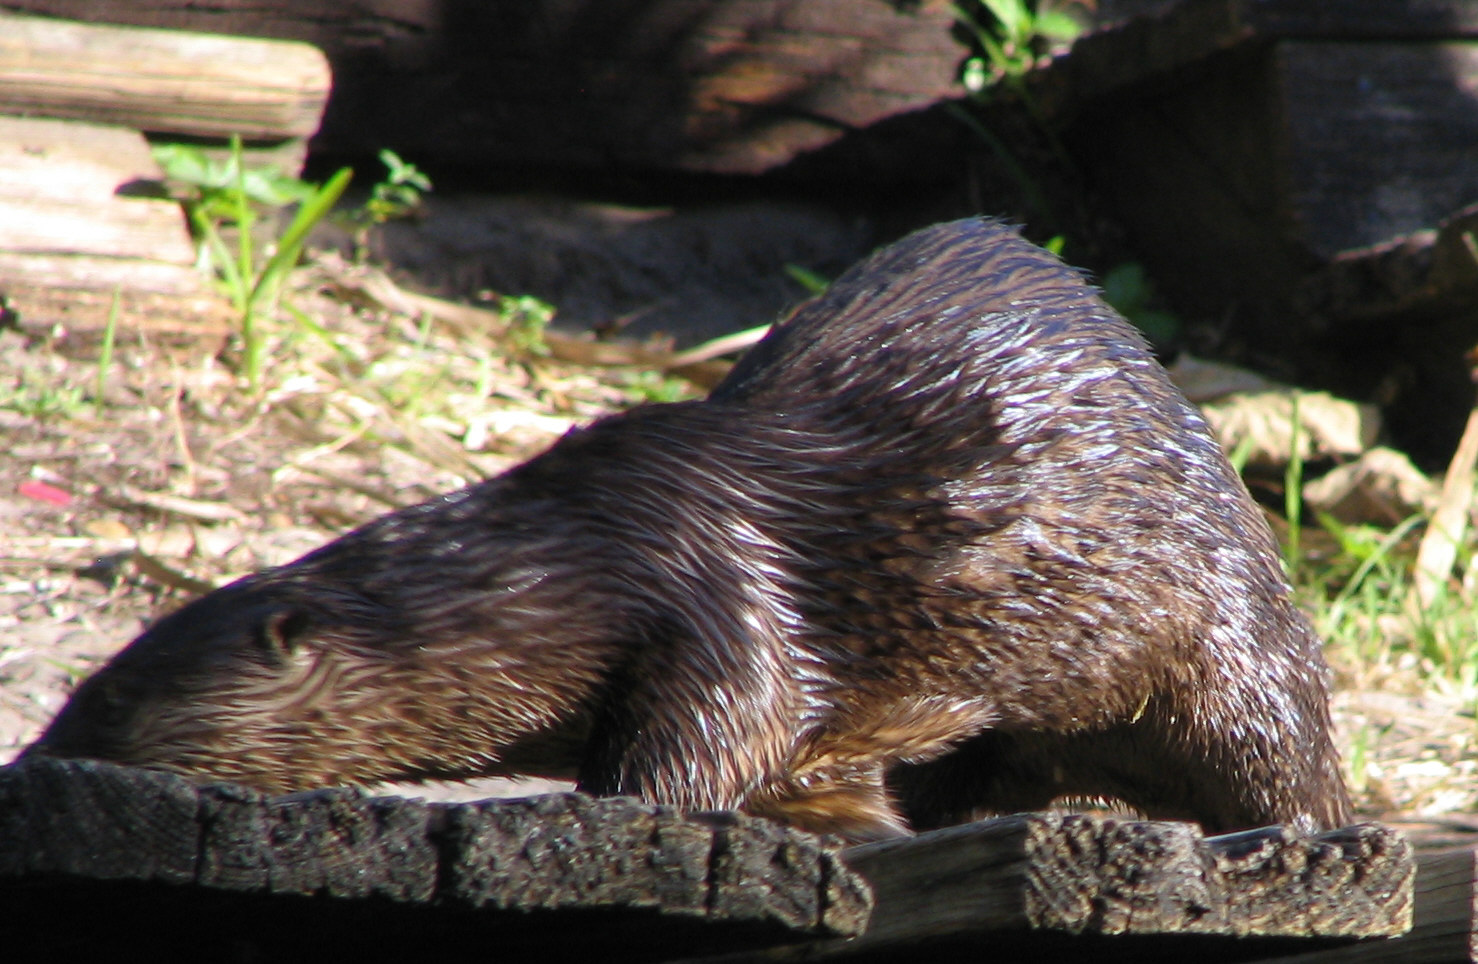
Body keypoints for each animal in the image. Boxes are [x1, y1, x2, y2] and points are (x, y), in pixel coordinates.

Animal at [23, 218, 1352, 841]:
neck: (580, 557)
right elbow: (814, 771)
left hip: (1226, 640)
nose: (30, 764)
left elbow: (700, 747)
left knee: (1286, 765)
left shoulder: (716, 598)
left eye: (100, 694)